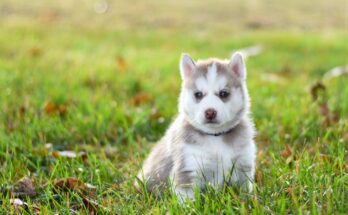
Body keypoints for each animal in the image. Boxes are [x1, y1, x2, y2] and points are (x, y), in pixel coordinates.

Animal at [136, 53, 256, 201]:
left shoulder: (242, 164)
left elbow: (245, 190)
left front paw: (247, 201)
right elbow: (187, 200)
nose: (210, 112)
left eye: (223, 93)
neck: (215, 137)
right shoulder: (188, 167)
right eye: (198, 94)